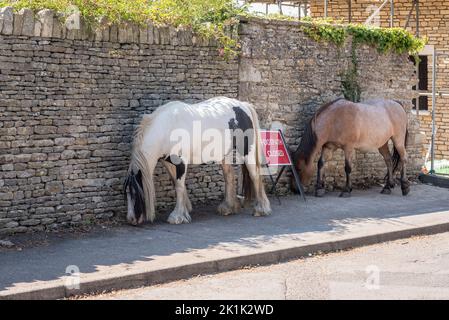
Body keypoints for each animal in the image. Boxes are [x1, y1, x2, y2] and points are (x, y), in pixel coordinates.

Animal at [122, 97, 272, 225]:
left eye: (135, 192)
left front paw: (177, 216)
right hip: (225, 155)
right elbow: (176, 183)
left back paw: (261, 209)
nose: (131, 219)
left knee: (255, 175)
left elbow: (179, 185)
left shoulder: (181, 162)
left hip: (247, 151)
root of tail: (243, 105)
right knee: (229, 176)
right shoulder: (168, 162)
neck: (168, 128)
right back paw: (228, 207)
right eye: (126, 193)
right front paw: (185, 210)